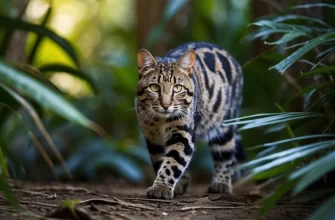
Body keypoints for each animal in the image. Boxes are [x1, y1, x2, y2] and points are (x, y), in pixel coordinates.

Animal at [135, 41, 245, 199]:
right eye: (154, 87)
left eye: (177, 88)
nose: (166, 105)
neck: (161, 121)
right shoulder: (153, 138)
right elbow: (160, 160)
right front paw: (177, 183)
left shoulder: (183, 133)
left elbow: (173, 162)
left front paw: (162, 187)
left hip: (224, 123)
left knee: (224, 154)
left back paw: (221, 183)